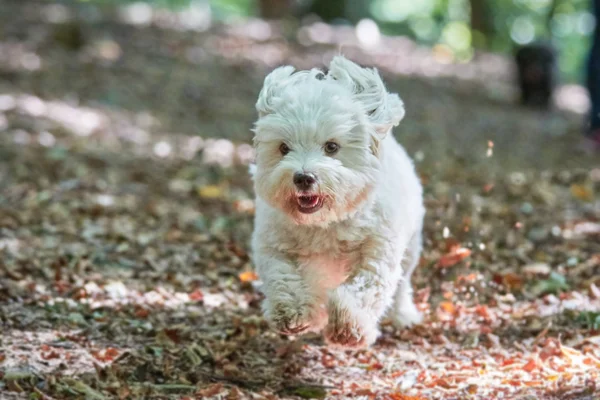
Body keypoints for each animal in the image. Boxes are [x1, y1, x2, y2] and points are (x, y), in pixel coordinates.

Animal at [251, 55, 424, 346]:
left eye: (331, 147)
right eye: (284, 148)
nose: (303, 178)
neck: (326, 222)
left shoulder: (379, 249)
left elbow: (368, 286)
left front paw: (347, 324)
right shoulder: (274, 245)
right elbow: (282, 276)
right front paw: (293, 311)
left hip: (410, 248)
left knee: (402, 284)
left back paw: (403, 315)